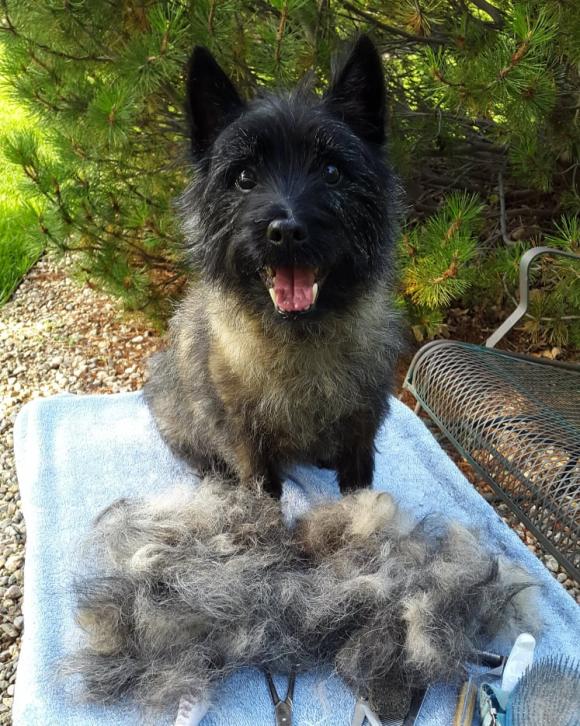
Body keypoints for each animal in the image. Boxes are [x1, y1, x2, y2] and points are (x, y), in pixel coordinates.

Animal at [143, 37, 402, 498]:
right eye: (245, 177)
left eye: (332, 171)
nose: (286, 231)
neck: (300, 340)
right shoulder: (247, 442)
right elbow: (262, 490)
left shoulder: (362, 427)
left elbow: (358, 483)